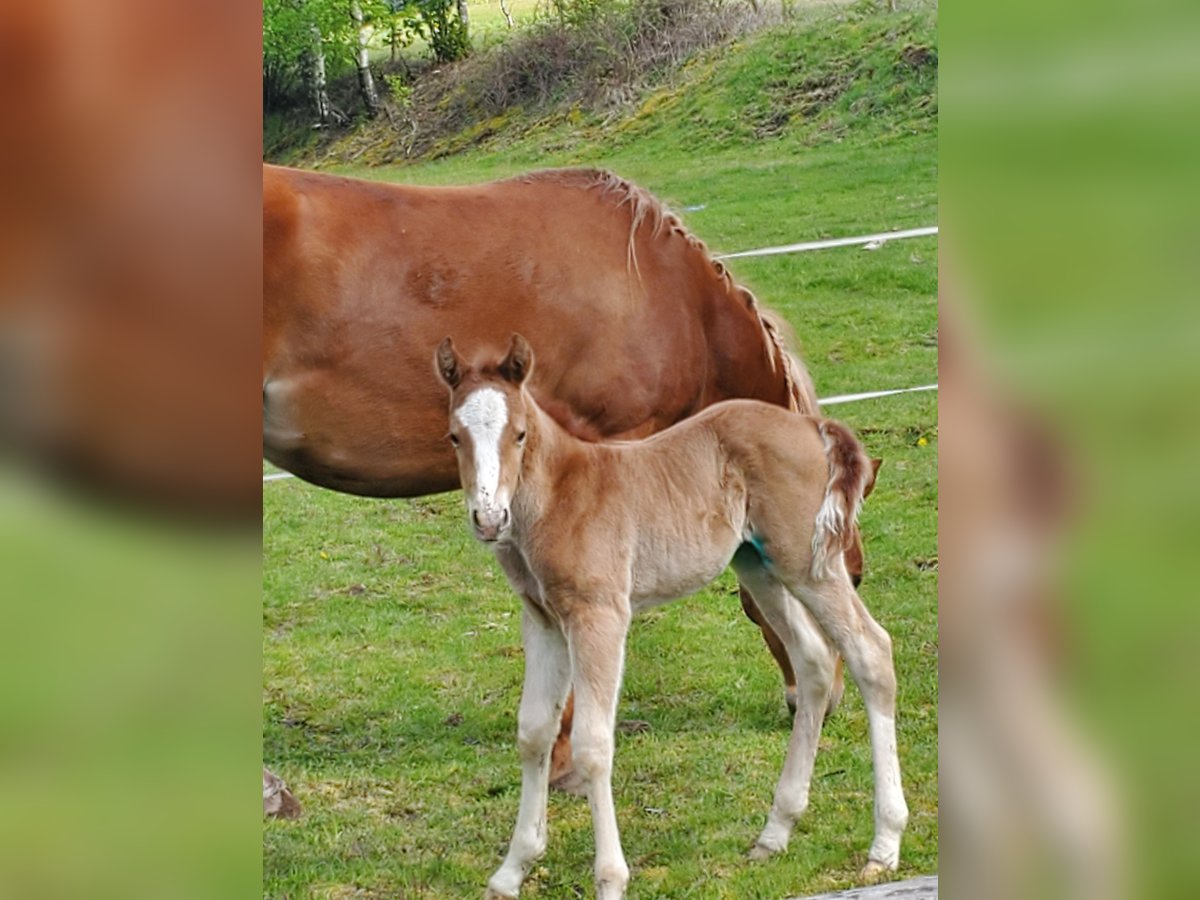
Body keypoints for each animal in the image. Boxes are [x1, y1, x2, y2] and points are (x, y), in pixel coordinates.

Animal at [436, 336, 902, 900]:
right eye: (454, 436)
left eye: (520, 433)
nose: (488, 519)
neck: (560, 495)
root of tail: (813, 425)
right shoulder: (543, 619)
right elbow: (533, 732)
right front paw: (512, 870)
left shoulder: (600, 615)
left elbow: (593, 744)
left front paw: (610, 879)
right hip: (759, 566)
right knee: (812, 662)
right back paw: (775, 832)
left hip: (808, 564)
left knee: (870, 651)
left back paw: (884, 845)